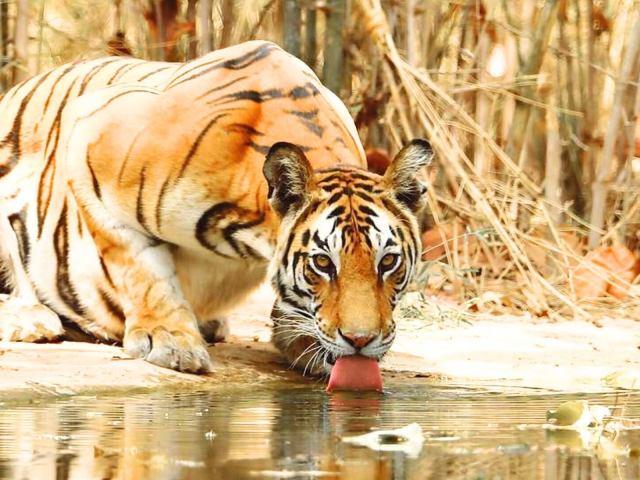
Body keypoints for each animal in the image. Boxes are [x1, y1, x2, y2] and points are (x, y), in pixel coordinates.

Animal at [0, 40, 432, 375]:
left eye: (388, 262)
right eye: (323, 263)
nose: (360, 340)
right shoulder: (90, 133)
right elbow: (140, 267)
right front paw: (169, 341)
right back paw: (31, 318)